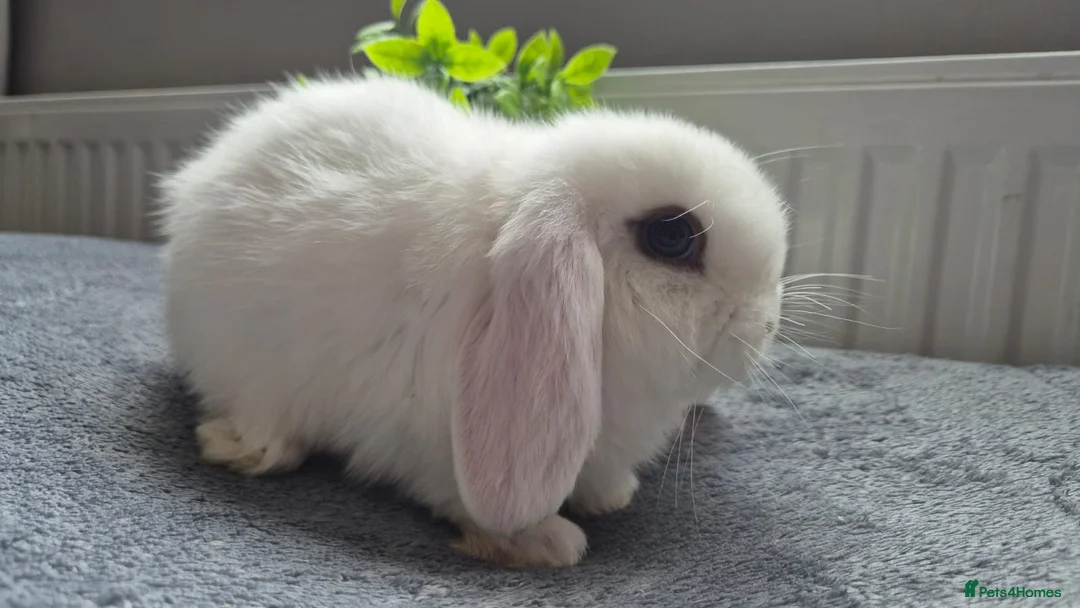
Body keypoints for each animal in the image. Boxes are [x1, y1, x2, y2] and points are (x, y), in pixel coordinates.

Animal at [158, 73, 789, 568]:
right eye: (672, 235)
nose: (767, 325)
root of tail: (197, 178)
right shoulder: (428, 445)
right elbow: (470, 504)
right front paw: (548, 543)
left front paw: (612, 496)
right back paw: (247, 447)